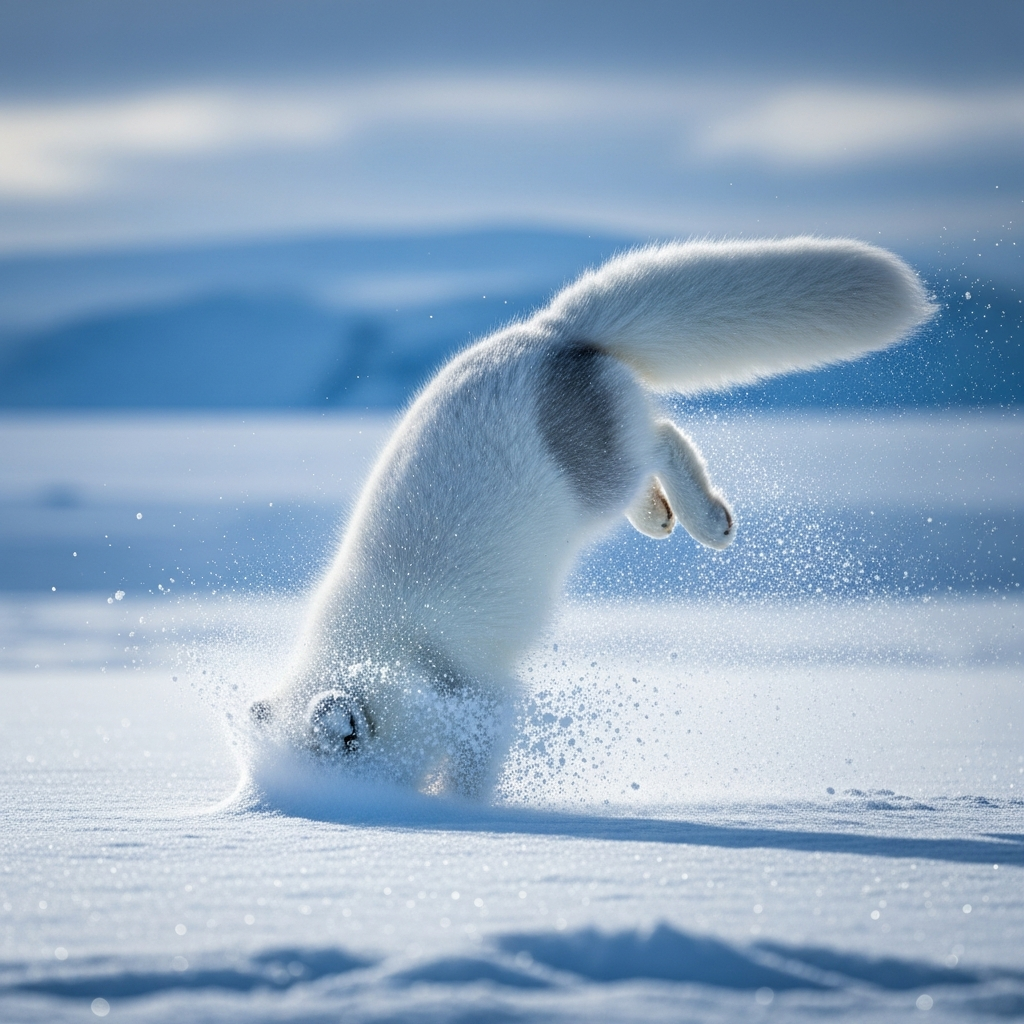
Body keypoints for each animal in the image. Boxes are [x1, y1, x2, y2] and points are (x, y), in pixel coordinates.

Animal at [249, 237, 934, 798]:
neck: (393, 651)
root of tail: (552, 333)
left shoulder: (485, 697)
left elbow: (475, 765)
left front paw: (464, 811)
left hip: (601, 475)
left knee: (663, 435)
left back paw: (707, 519)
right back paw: (659, 518)